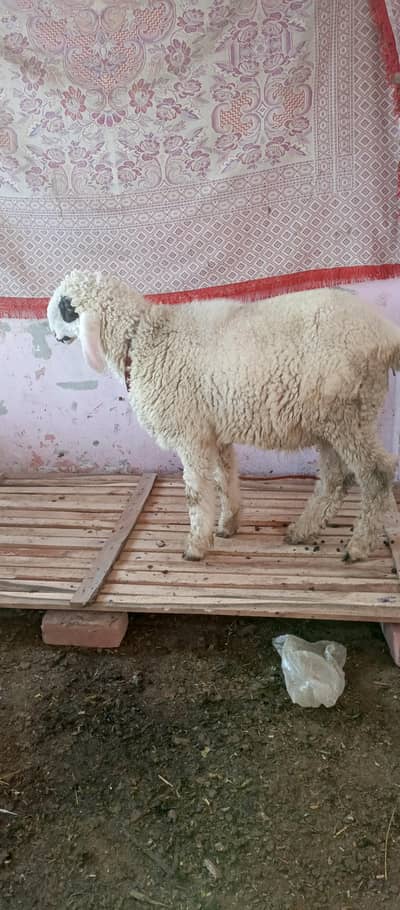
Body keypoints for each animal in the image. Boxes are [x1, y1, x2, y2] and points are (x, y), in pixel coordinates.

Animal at [47, 269, 400, 563]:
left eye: (67, 309)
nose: (53, 334)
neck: (143, 338)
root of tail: (386, 335)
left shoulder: (190, 434)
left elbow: (196, 493)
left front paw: (195, 546)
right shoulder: (214, 431)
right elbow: (224, 479)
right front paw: (228, 525)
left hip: (349, 414)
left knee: (377, 474)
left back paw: (358, 546)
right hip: (332, 420)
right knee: (335, 480)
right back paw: (303, 531)